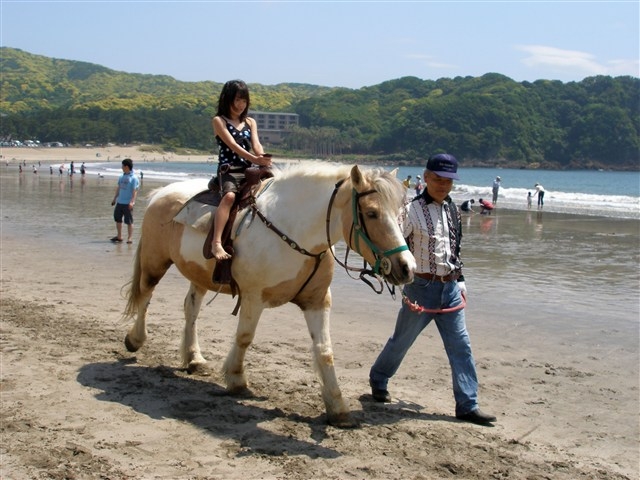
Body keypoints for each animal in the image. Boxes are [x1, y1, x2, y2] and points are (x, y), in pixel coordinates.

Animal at [122, 163, 418, 426]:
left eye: (401, 213)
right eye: (372, 213)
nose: (407, 267)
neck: (295, 231)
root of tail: (161, 193)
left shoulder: (317, 302)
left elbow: (324, 351)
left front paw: (338, 408)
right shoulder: (254, 297)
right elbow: (244, 338)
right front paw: (236, 379)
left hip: (199, 275)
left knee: (190, 309)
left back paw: (194, 358)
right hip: (154, 262)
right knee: (146, 295)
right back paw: (135, 340)